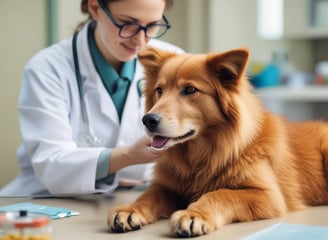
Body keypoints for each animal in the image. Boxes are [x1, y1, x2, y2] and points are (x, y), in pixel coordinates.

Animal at [107, 46, 328, 236]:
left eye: (190, 90)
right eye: (159, 90)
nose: (148, 120)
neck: (202, 154)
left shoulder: (268, 196)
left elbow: (221, 194)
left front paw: (194, 215)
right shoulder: (168, 188)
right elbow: (148, 196)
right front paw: (129, 209)